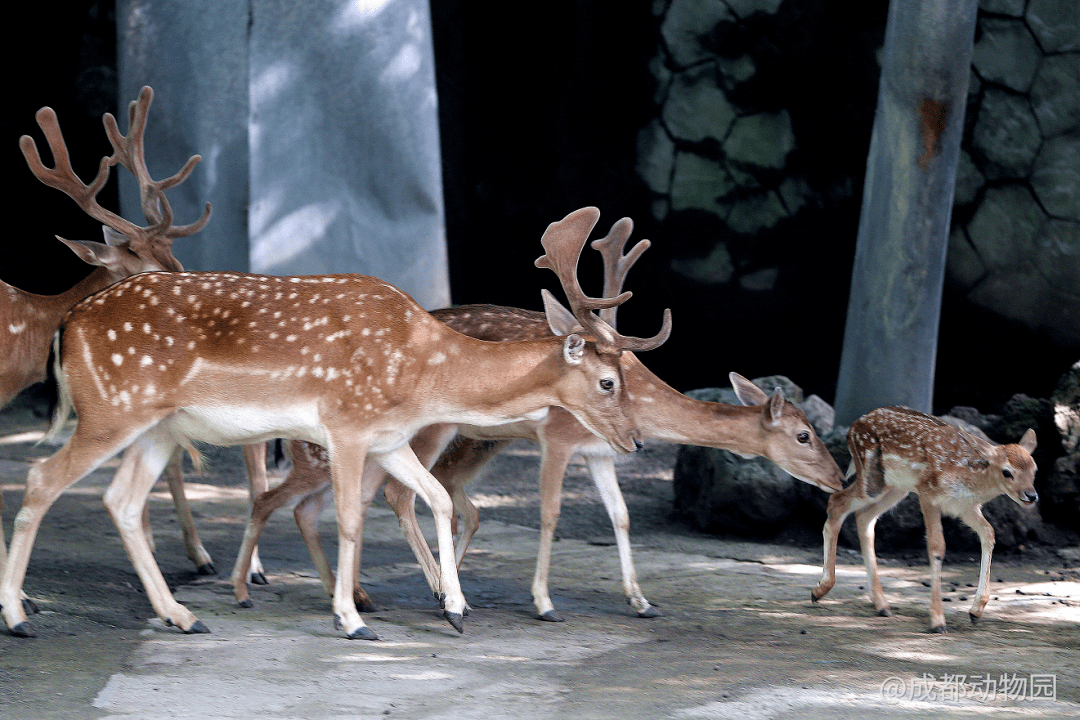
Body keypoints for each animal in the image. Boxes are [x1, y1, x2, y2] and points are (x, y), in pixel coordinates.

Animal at [4, 205, 669, 639]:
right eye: (609, 381)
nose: (635, 441)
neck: (420, 368)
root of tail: (69, 325)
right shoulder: (346, 423)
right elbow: (350, 517)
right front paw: (350, 618)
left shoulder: (389, 438)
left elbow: (436, 498)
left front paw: (452, 607)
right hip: (112, 409)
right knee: (41, 479)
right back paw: (18, 615)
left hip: (156, 429)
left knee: (121, 500)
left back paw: (182, 615)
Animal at [223, 213, 838, 621]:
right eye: (804, 435)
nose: (838, 478)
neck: (641, 401)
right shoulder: (559, 439)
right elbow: (548, 513)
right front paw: (541, 601)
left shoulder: (600, 455)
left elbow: (621, 518)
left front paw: (640, 599)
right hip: (430, 433)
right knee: (385, 496)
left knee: (379, 500)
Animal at [812, 408, 1036, 634]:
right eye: (1007, 472)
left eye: (1034, 470)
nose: (1031, 496)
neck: (970, 479)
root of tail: (853, 427)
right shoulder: (928, 493)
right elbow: (937, 546)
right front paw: (938, 621)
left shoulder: (965, 508)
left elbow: (989, 533)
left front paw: (975, 612)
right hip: (871, 476)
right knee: (837, 501)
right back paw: (820, 590)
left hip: (896, 487)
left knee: (863, 516)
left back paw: (882, 605)